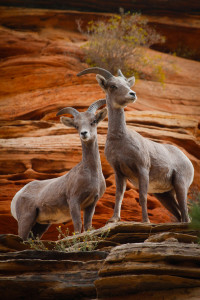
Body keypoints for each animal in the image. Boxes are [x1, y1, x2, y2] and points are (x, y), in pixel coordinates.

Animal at [10, 99, 108, 240]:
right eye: (76, 125)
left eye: (93, 121)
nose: (84, 133)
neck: (91, 174)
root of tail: (18, 195)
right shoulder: (74, 201)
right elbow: (78, 225)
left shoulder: (91, 204)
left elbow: (87, 226)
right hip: (26, 219)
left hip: (41, 225)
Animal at [77, 67, 194, 223]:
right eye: (112, 86)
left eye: (128, 84)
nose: (132, 94)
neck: (120, 140)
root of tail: (187, 160)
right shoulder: (119, 172)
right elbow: (119, 195)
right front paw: (113, 219)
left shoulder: (142, 169)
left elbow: (142, 196)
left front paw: (146, 221)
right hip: (164, 195)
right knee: (180, 214)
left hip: (180, 185)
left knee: (185, 214)